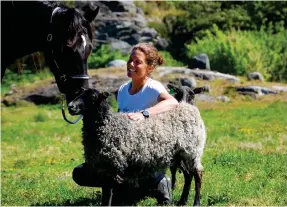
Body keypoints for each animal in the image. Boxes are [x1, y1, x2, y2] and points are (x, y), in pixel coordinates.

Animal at [67, 88, 207, 206]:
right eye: (77, 94)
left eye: (92, 97)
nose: (70, 107)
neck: (108, 125)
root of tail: (189, 107)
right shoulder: (103, 168)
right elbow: (106, 194)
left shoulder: (113, 165)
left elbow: (107, 195)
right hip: (179, 154)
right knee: (188, 174)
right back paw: (182, 201)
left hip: (192, 150)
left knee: (197, 174)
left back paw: (196, 202)